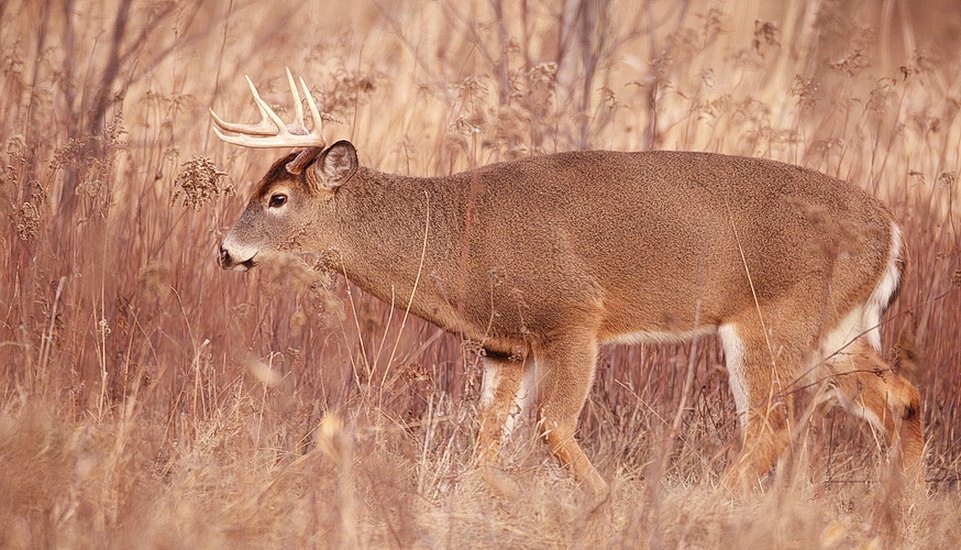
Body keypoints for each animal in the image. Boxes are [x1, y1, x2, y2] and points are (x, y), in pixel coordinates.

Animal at [212, 71, 924, 502]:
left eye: (276, 198)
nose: (225, 250)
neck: (458, 242)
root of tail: (891, 228)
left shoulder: (574, 318)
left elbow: (552, 426)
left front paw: (606, 501)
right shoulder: (506, 344)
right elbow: (487, 436)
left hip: (773, 319)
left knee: (773, 423)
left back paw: (713, 504)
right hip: (839, 327)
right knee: (903, 397)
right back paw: (904, 504)